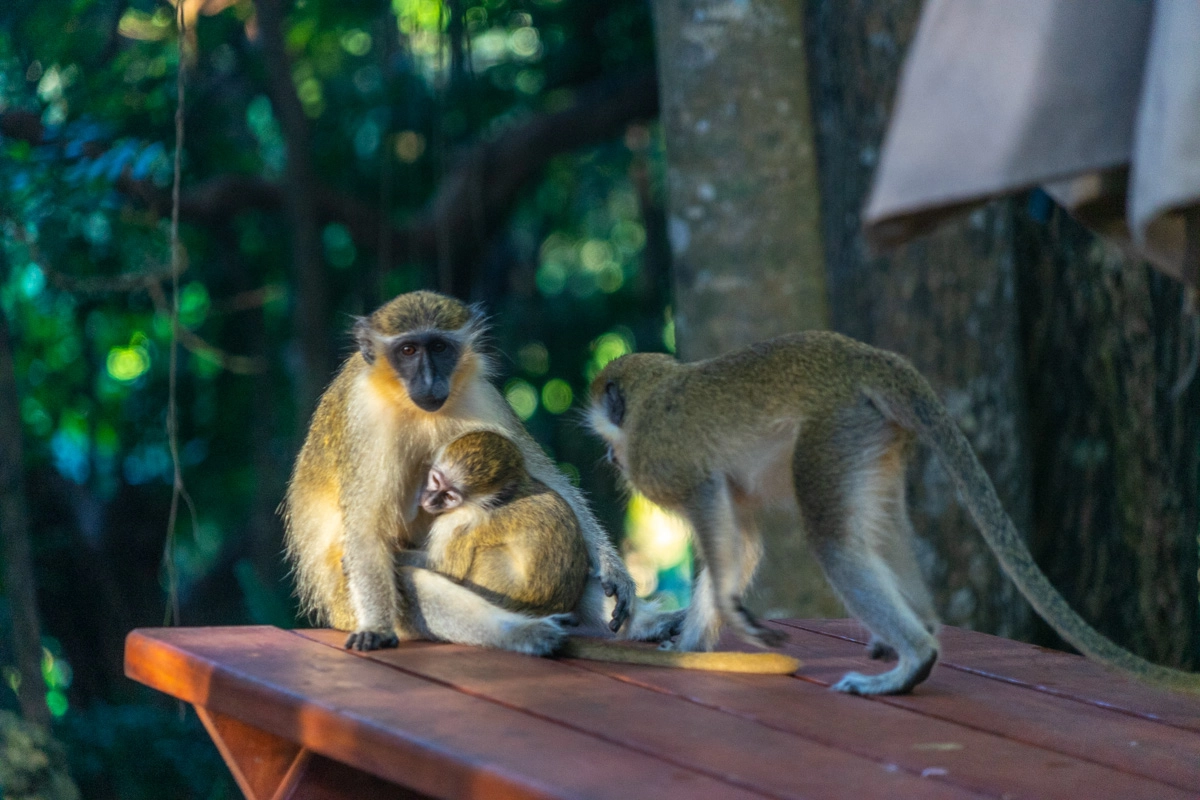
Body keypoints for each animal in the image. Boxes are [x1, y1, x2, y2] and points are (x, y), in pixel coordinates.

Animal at [282, 291, 638, 652]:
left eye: (440, 347)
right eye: (408, 350)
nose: (429, 381)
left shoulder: (482, 395)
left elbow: (543, 475)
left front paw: (614, 570)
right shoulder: (365, 416)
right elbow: (367, 529)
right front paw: (377, 628)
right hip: (345, 605)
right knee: (410, 579)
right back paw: (521, 632)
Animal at [588, 331, 1200, 695]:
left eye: (609, 439)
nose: (611, 460)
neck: (656, 393)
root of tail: (863, 356)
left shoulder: (661, 460)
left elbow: (717, 517)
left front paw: (725, 625)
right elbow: (741, 539)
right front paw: (692, 646)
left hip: (833, 429)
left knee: (836, 544)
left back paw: (914, 659)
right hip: (869, 435)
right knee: (876, 529)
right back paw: (919, 631)